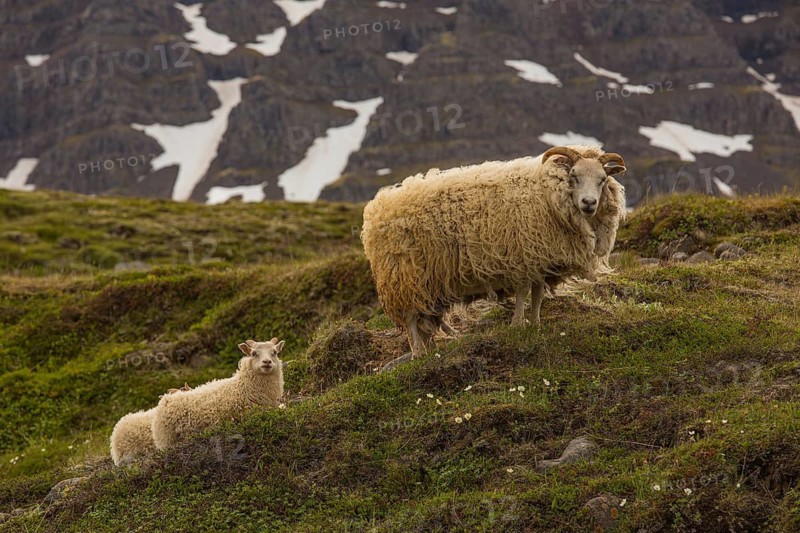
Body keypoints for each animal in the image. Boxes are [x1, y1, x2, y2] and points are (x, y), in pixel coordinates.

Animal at [151, 338, 285, 450]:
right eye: (254, 353)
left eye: (274, 352)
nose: (267, 362)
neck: (243, 386)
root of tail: (166, 399)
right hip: (166, 440)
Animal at [361, 145, 626, 357]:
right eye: (574, 175)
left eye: (602, 179)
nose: (589, 203)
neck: (547, 192)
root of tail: (375, 211)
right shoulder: (522, 258)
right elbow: (523, 293)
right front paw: (518, 324)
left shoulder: (539, 260)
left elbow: (537, 295)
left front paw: (536, 323)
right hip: (402, 278)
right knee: (410, 319)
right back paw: (417, 354)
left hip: (426, 285)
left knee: (423, 319)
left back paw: (432, 350)